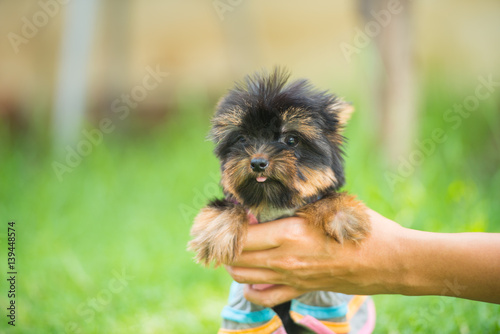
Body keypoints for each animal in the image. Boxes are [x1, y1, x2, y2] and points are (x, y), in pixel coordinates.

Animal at [189, 68, 374, 334]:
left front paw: (343, 214)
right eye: (242, 139)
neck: (273, 203)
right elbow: (230, 204)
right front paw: (217, 233)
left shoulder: (323, 302)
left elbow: (324, 196)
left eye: (291, 140)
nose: (258, 162)